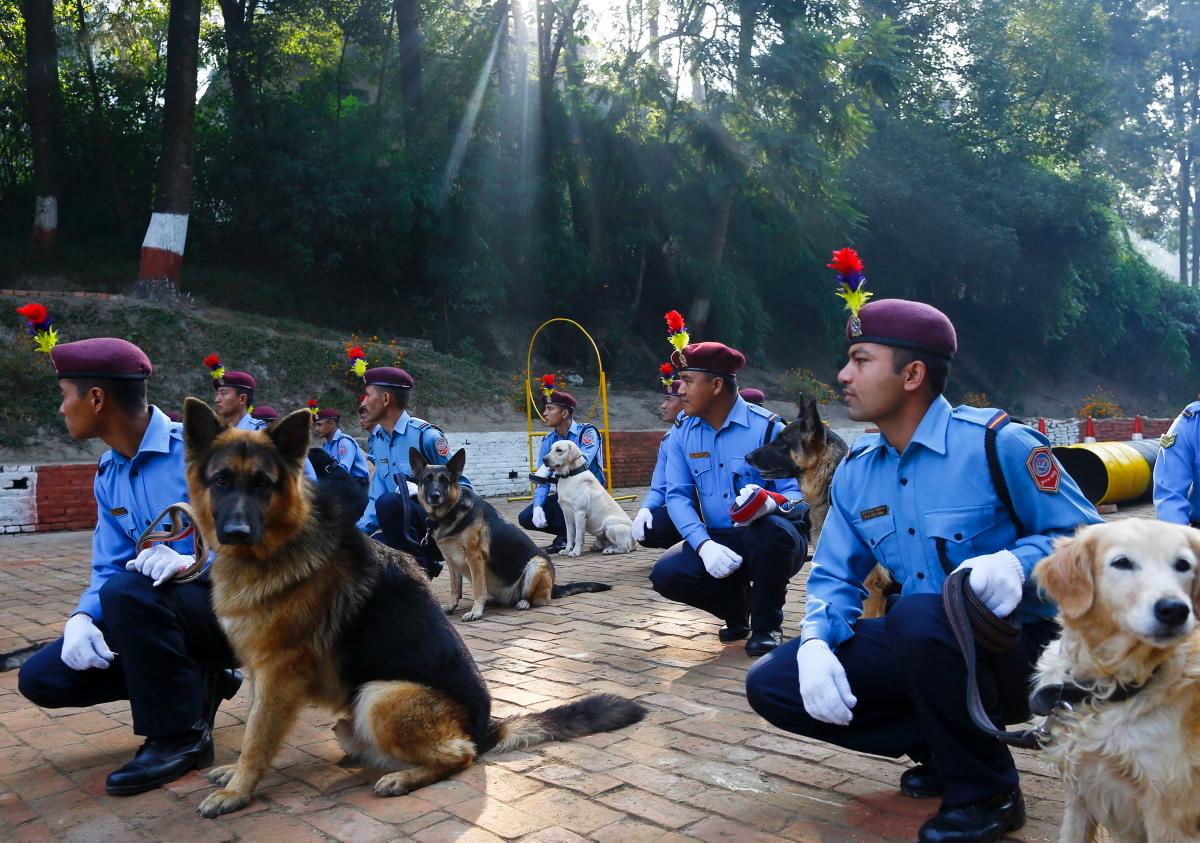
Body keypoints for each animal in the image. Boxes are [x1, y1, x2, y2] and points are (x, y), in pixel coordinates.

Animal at [410, 451, 609, 624]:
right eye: (427, 479)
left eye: (445, 481)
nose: (434, 496)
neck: (451, 511)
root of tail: (554, 586)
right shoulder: (452, 562)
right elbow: (455, 589)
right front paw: (452, 607)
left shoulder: (475, 559)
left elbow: (478, 590)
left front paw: (476, 611)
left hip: (535, 564)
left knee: (536, 599)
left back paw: (523, 602)